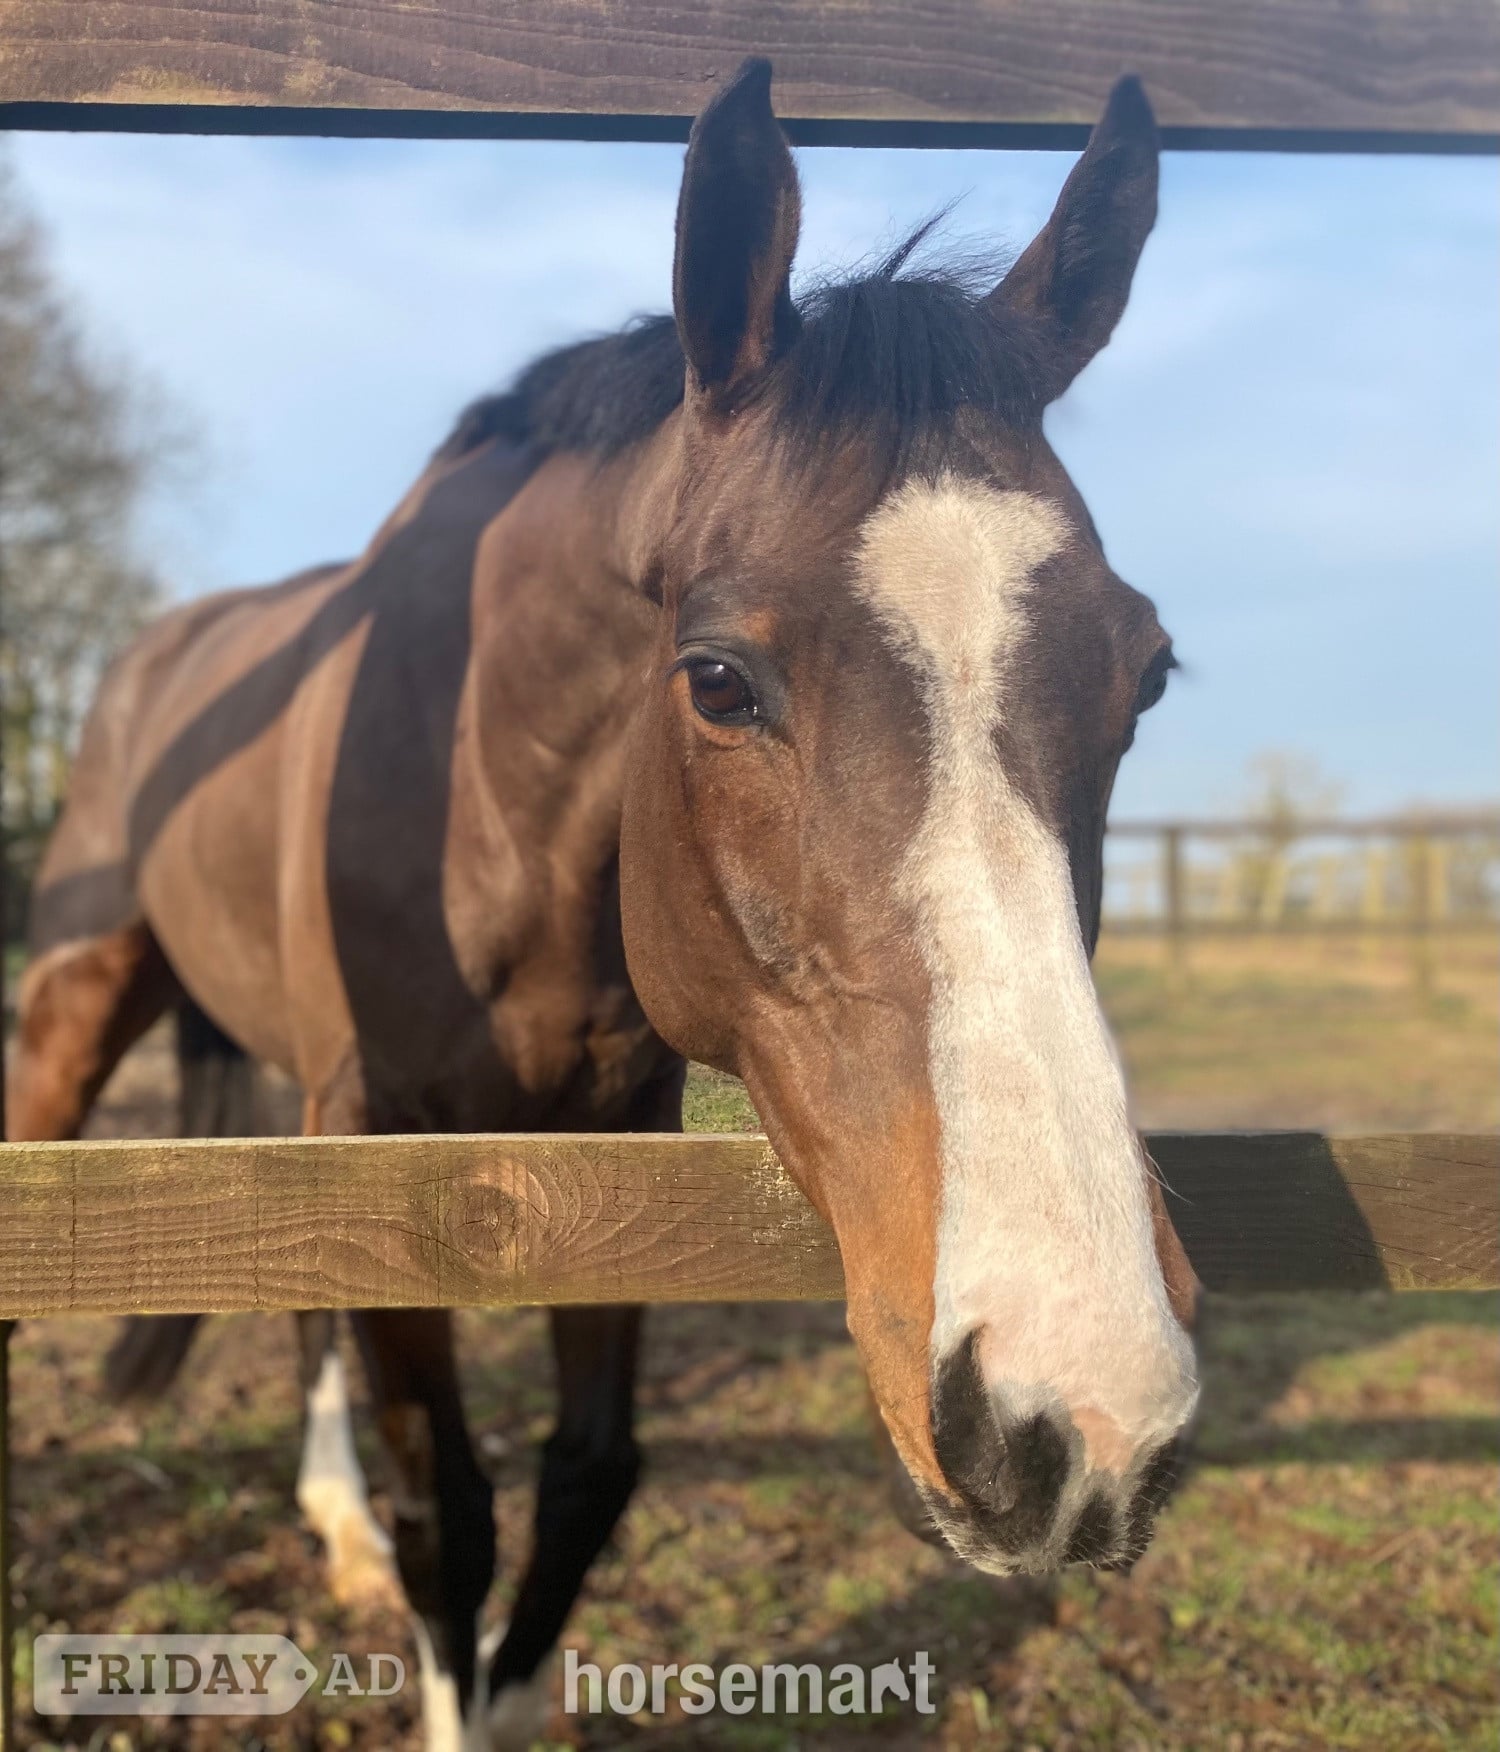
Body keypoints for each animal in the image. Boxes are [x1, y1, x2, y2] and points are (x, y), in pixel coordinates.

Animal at [7, 58, 1201, 1749]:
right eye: (717, 679)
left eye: (1145, 674)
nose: (1082, 1412)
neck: (473, 784)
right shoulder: (386, 1144)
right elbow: (455, 1510)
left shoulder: (606, 1146)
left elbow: (584, 1481)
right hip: (80, 1016)